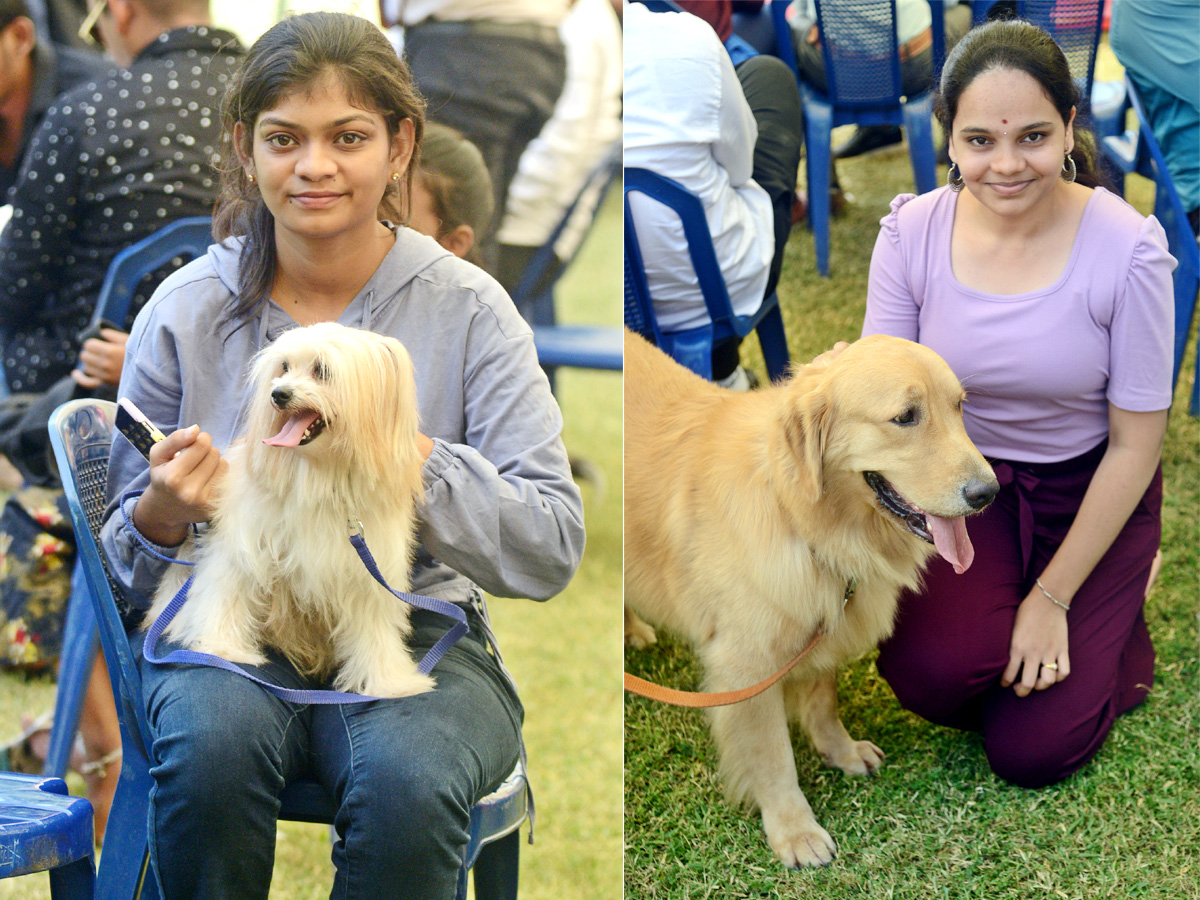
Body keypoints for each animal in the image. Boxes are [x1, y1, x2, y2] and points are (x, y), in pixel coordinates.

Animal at [145, 321, 436, 700]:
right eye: (283, 368)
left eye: (322, 371)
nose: (279, 394)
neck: (319, 477)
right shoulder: (243, 549)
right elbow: (228, 594)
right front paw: (223, 649)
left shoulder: (369, 574)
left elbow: (375, 631)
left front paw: (389, 681)